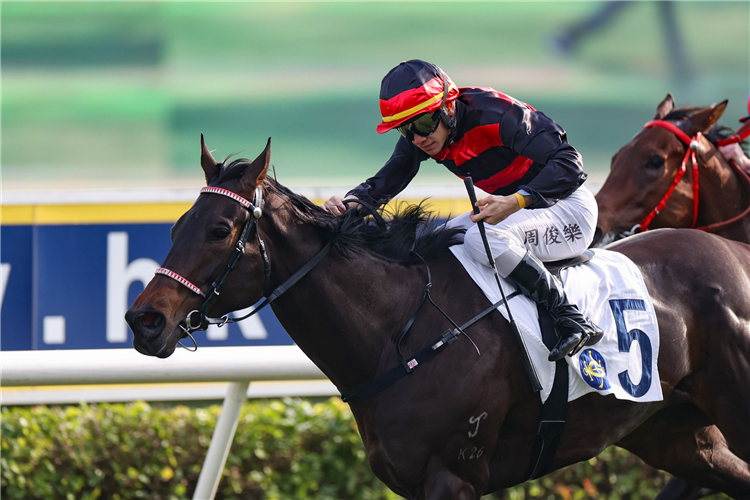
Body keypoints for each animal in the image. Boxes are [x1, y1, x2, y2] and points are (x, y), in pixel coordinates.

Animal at [125, 138, 750, 500]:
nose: (144, 320)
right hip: (677, 435)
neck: (399, 332)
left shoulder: (454, 476)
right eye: (177, 226)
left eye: (218, 230)